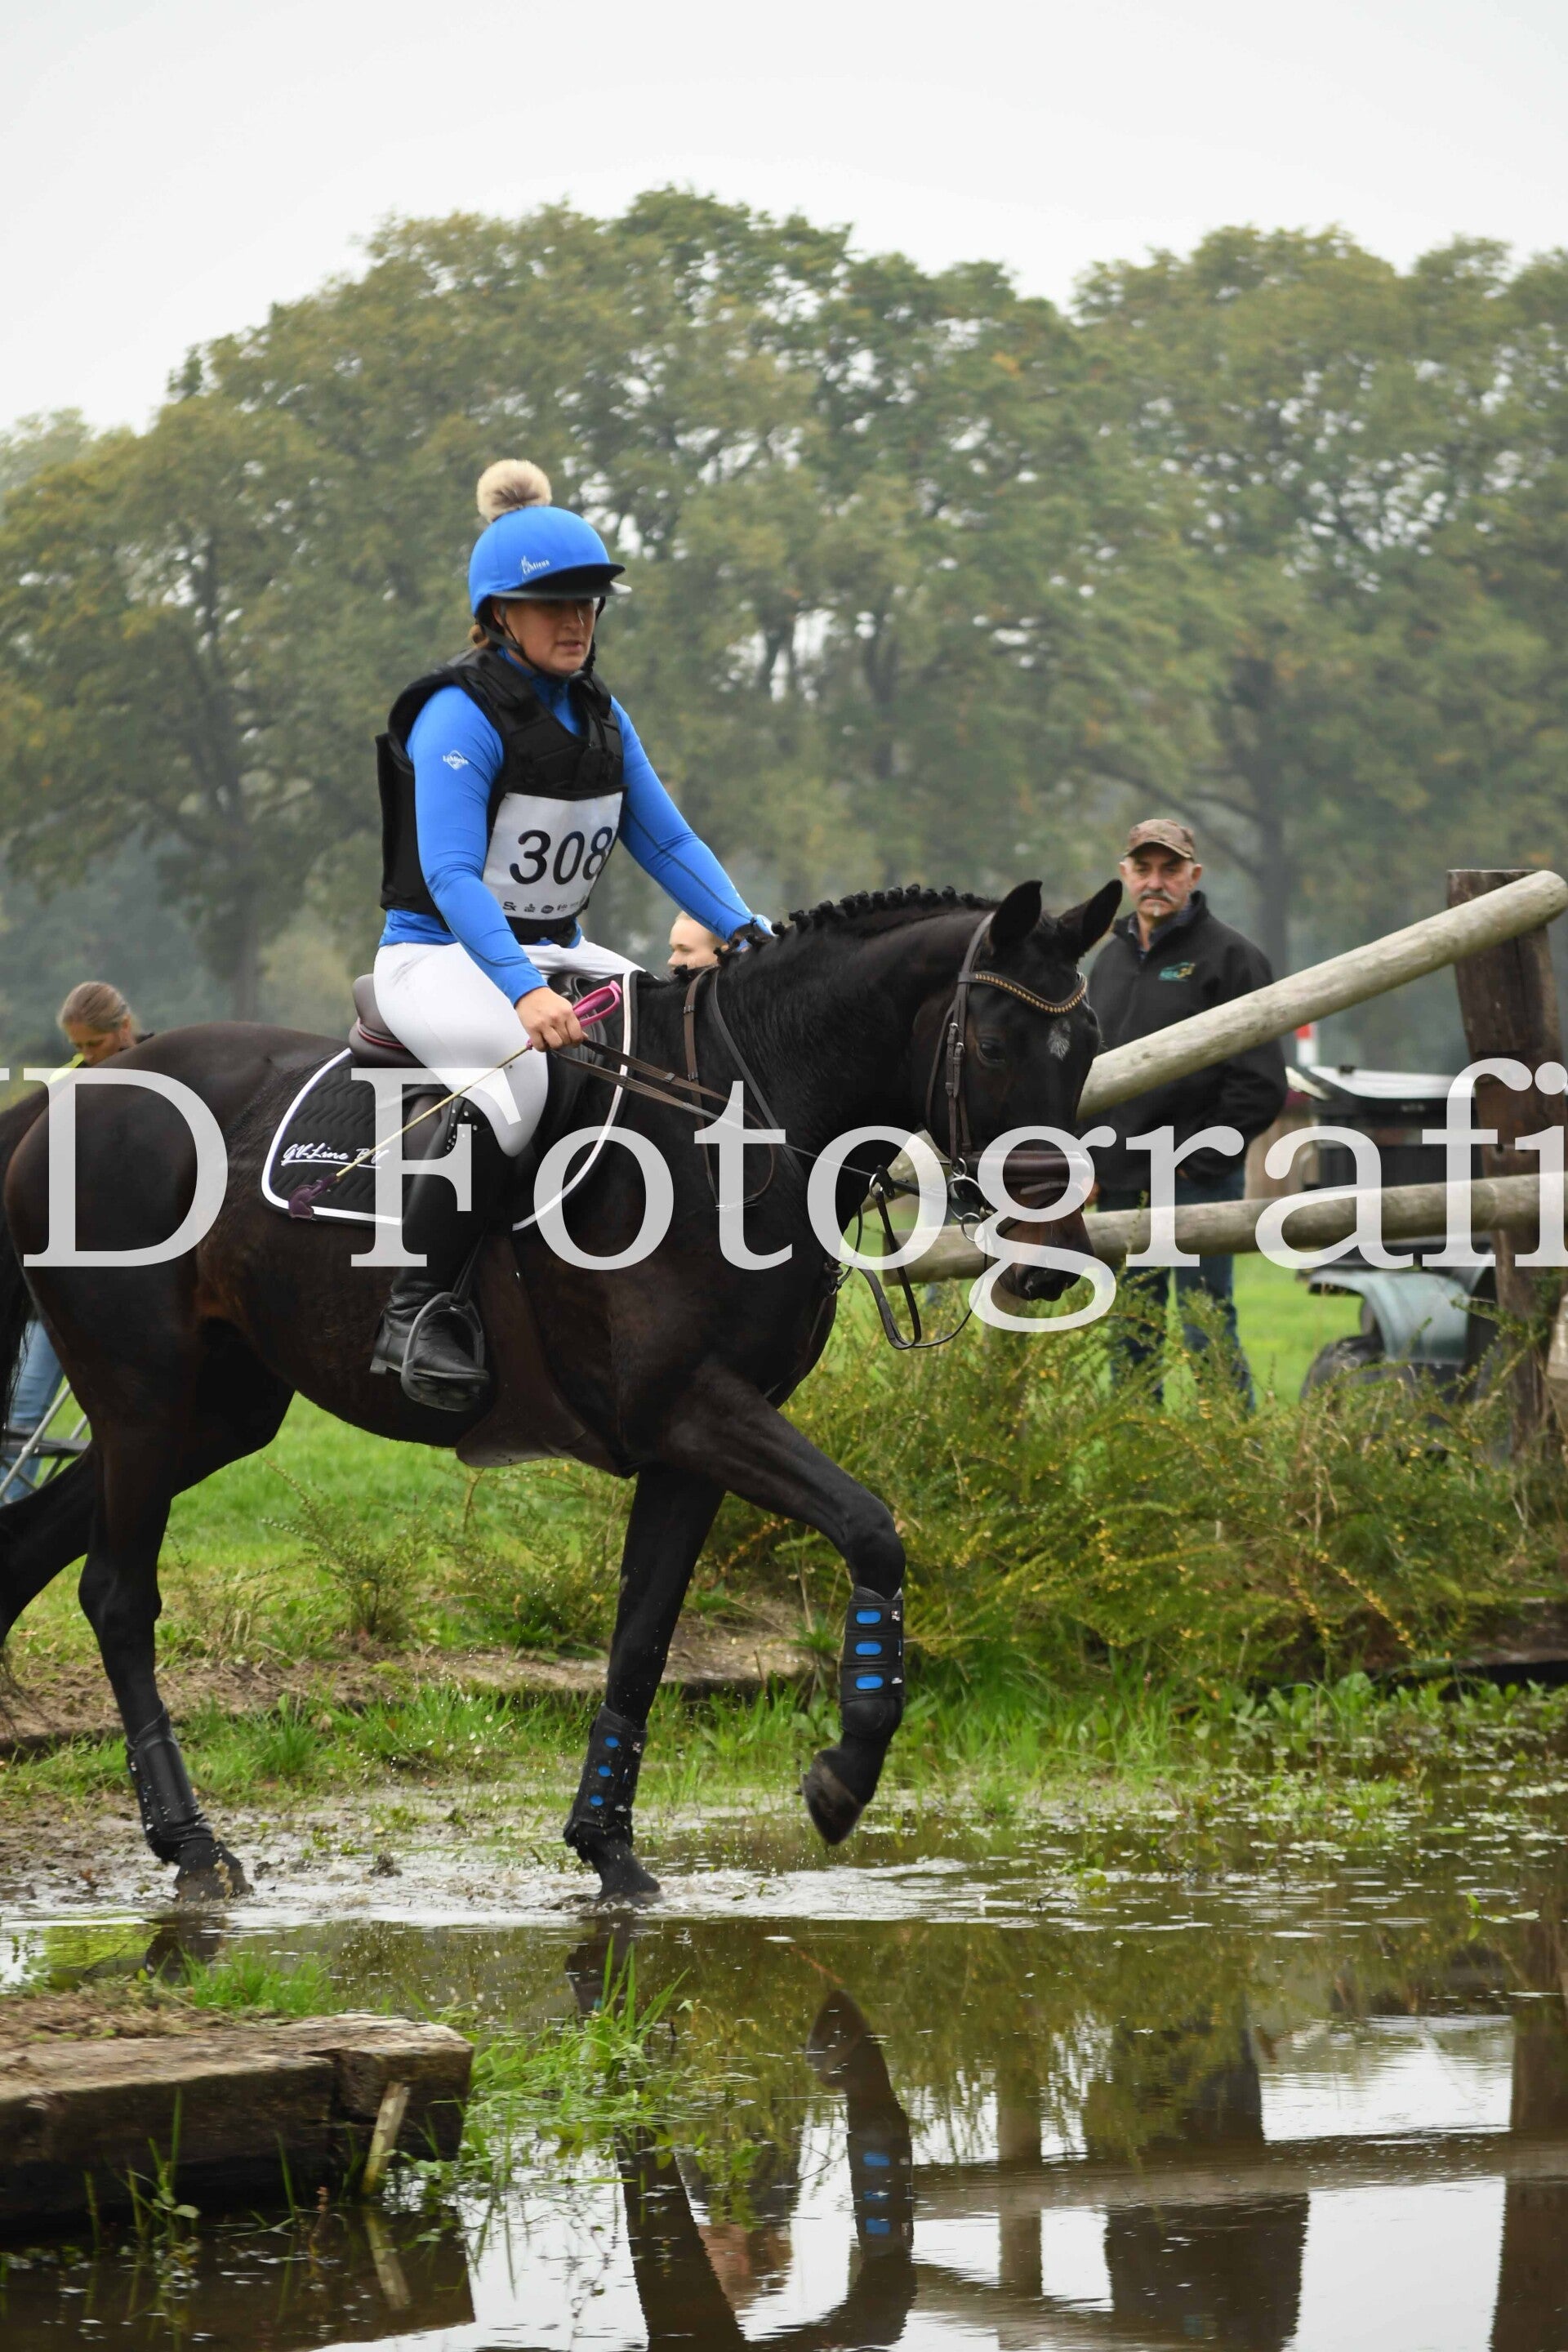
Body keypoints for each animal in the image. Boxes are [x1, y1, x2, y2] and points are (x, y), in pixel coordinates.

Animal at [0, 878, 1119, 1902]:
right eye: (996, 1045)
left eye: (1089, 1044)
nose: (1052, 1260)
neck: (739, 1125)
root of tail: (71, 1093)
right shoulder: (692, 1409)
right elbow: (872, 1529)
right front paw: (846, 1773)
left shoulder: (691, 1444)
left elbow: (643, 1636)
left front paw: (609, 1850)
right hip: (146, 1399)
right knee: (116, 1596)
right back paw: (192, 1844)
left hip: (215, 1410)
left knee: (38, 1552)